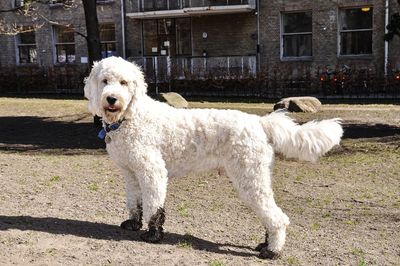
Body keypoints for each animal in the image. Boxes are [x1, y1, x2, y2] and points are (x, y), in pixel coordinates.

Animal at [83, 56, 342, 260]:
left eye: (124, 82)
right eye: (105, 81)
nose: (112, 99)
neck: (130, 117)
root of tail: (260, 122)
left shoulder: (152, 171)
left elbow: (154, 205)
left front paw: (153, 234)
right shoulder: (131, 173)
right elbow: (134, 203)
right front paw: (134, 224)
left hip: (250, 178)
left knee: (277, 218)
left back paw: (272, 251)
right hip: (258, 177)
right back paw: (266, 244)